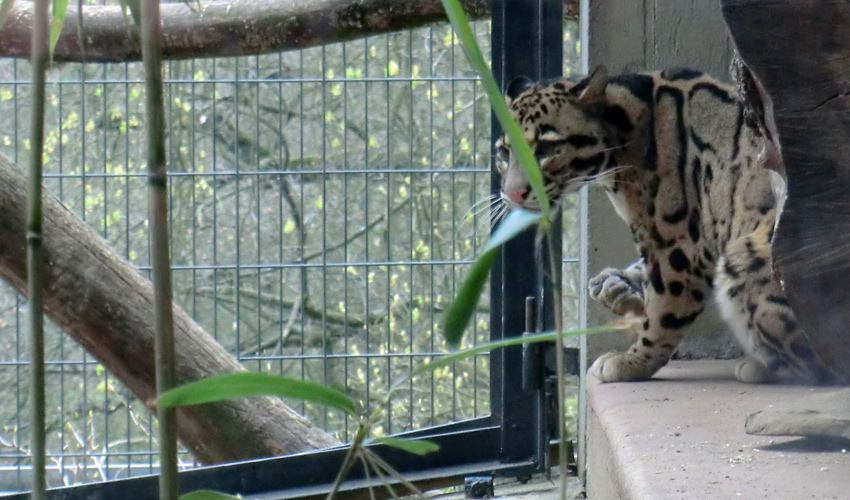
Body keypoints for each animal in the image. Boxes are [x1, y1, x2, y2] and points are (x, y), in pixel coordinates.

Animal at [494, 64, 832, 384]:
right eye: (504, 152)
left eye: (546, 148)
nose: (512, 193)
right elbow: (643, 276)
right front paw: (618, 285)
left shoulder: (676, 242)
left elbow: (663, 311)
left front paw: (633, 361)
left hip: (746, 256)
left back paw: (761, 366)